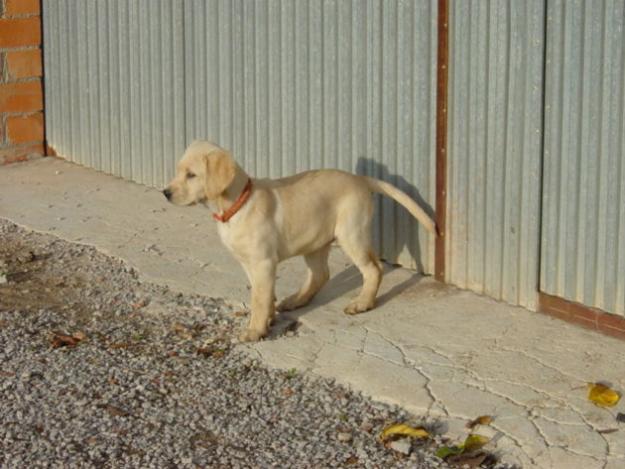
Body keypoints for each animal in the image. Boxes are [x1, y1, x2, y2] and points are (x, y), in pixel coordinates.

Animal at [168, 139, 436, 340]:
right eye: (179, 171)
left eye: (191, 175)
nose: (165, 193)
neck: (237, 204)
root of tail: (359, 179)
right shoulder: (248, 263)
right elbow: (264, 293)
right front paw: (268, 319)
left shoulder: (263, 262)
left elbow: (259, 298)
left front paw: (255, 330)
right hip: (315, 240)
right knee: (321, 274)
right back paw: (296, 300)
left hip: (351, 233)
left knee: (372, 269)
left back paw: (362, 303)